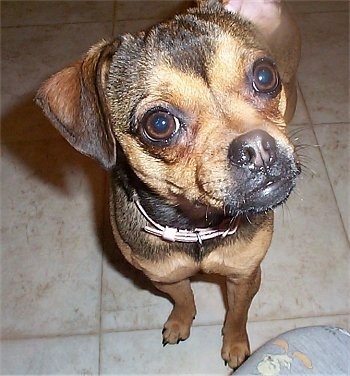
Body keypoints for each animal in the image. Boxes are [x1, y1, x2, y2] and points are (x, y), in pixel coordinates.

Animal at [35, 0, 300, 370]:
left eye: (264, 76)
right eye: (159, 124)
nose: (257, 148)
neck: (197, 227)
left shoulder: (244, 275)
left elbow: (236, 315)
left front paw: (234, 345)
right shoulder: (165, 277)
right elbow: (184, 297)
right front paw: (180, 322)